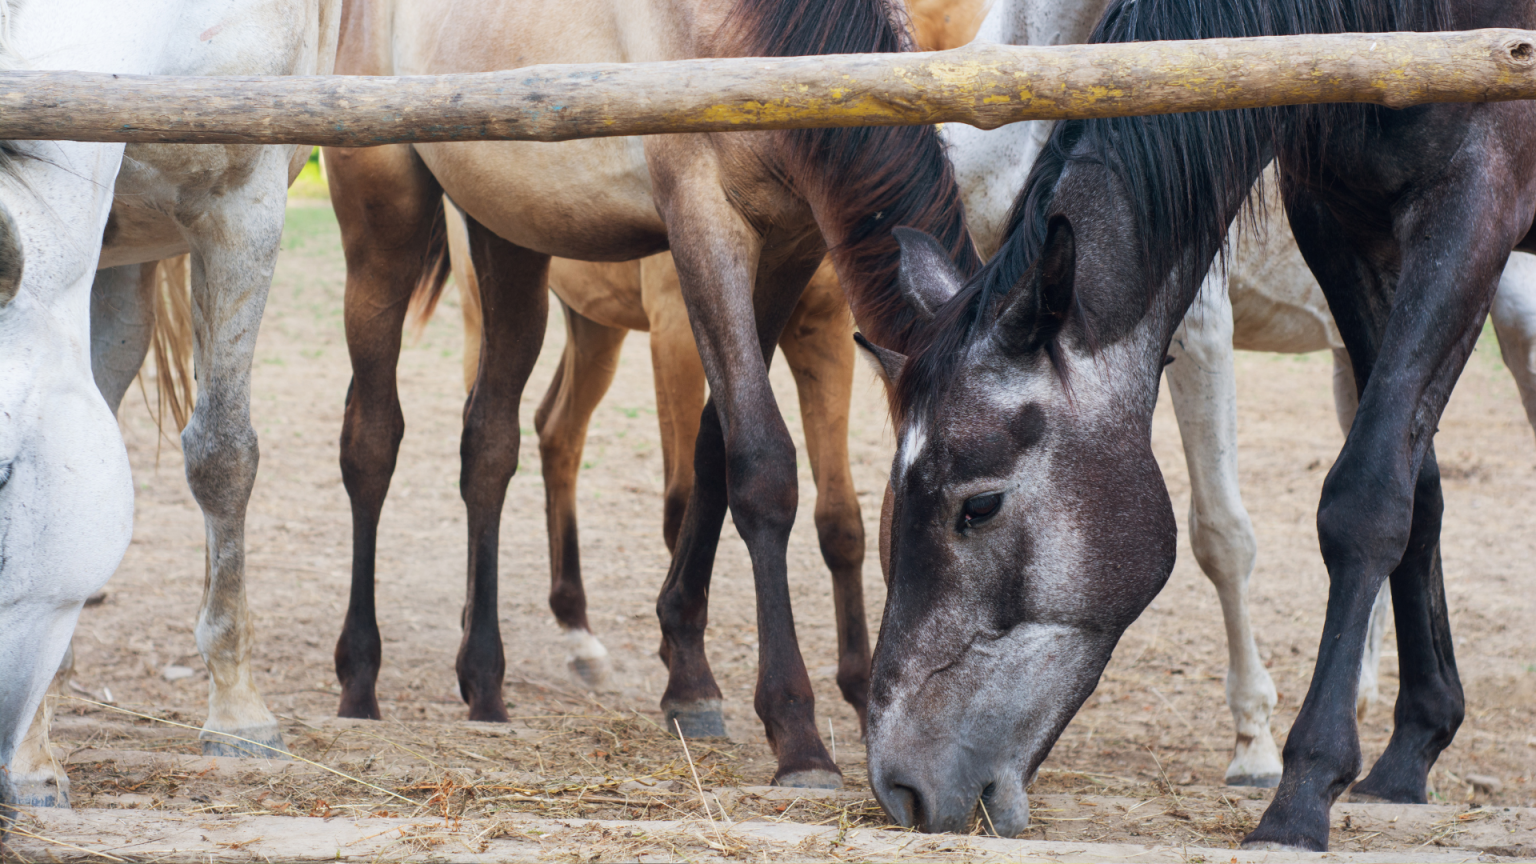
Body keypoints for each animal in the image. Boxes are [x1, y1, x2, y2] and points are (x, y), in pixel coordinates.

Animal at [325, 0, 978, 787]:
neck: (757, 35)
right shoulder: (704, 227)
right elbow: (761, 466)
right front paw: (796, 734)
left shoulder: (787, 248)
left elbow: (713, 454)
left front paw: (689, 679)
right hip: (382, 226)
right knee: (371, 439)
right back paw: (360, 680)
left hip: (510, 238)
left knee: (489, 443)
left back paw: (485, 685)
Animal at [862, 0, 1534, 846]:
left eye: (978, 506)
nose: (899, 788)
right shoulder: (1341, 222)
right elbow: (1416, 488)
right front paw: (1413, 746)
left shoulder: (1477, 199)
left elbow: (1367, 493)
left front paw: (1301, 790)